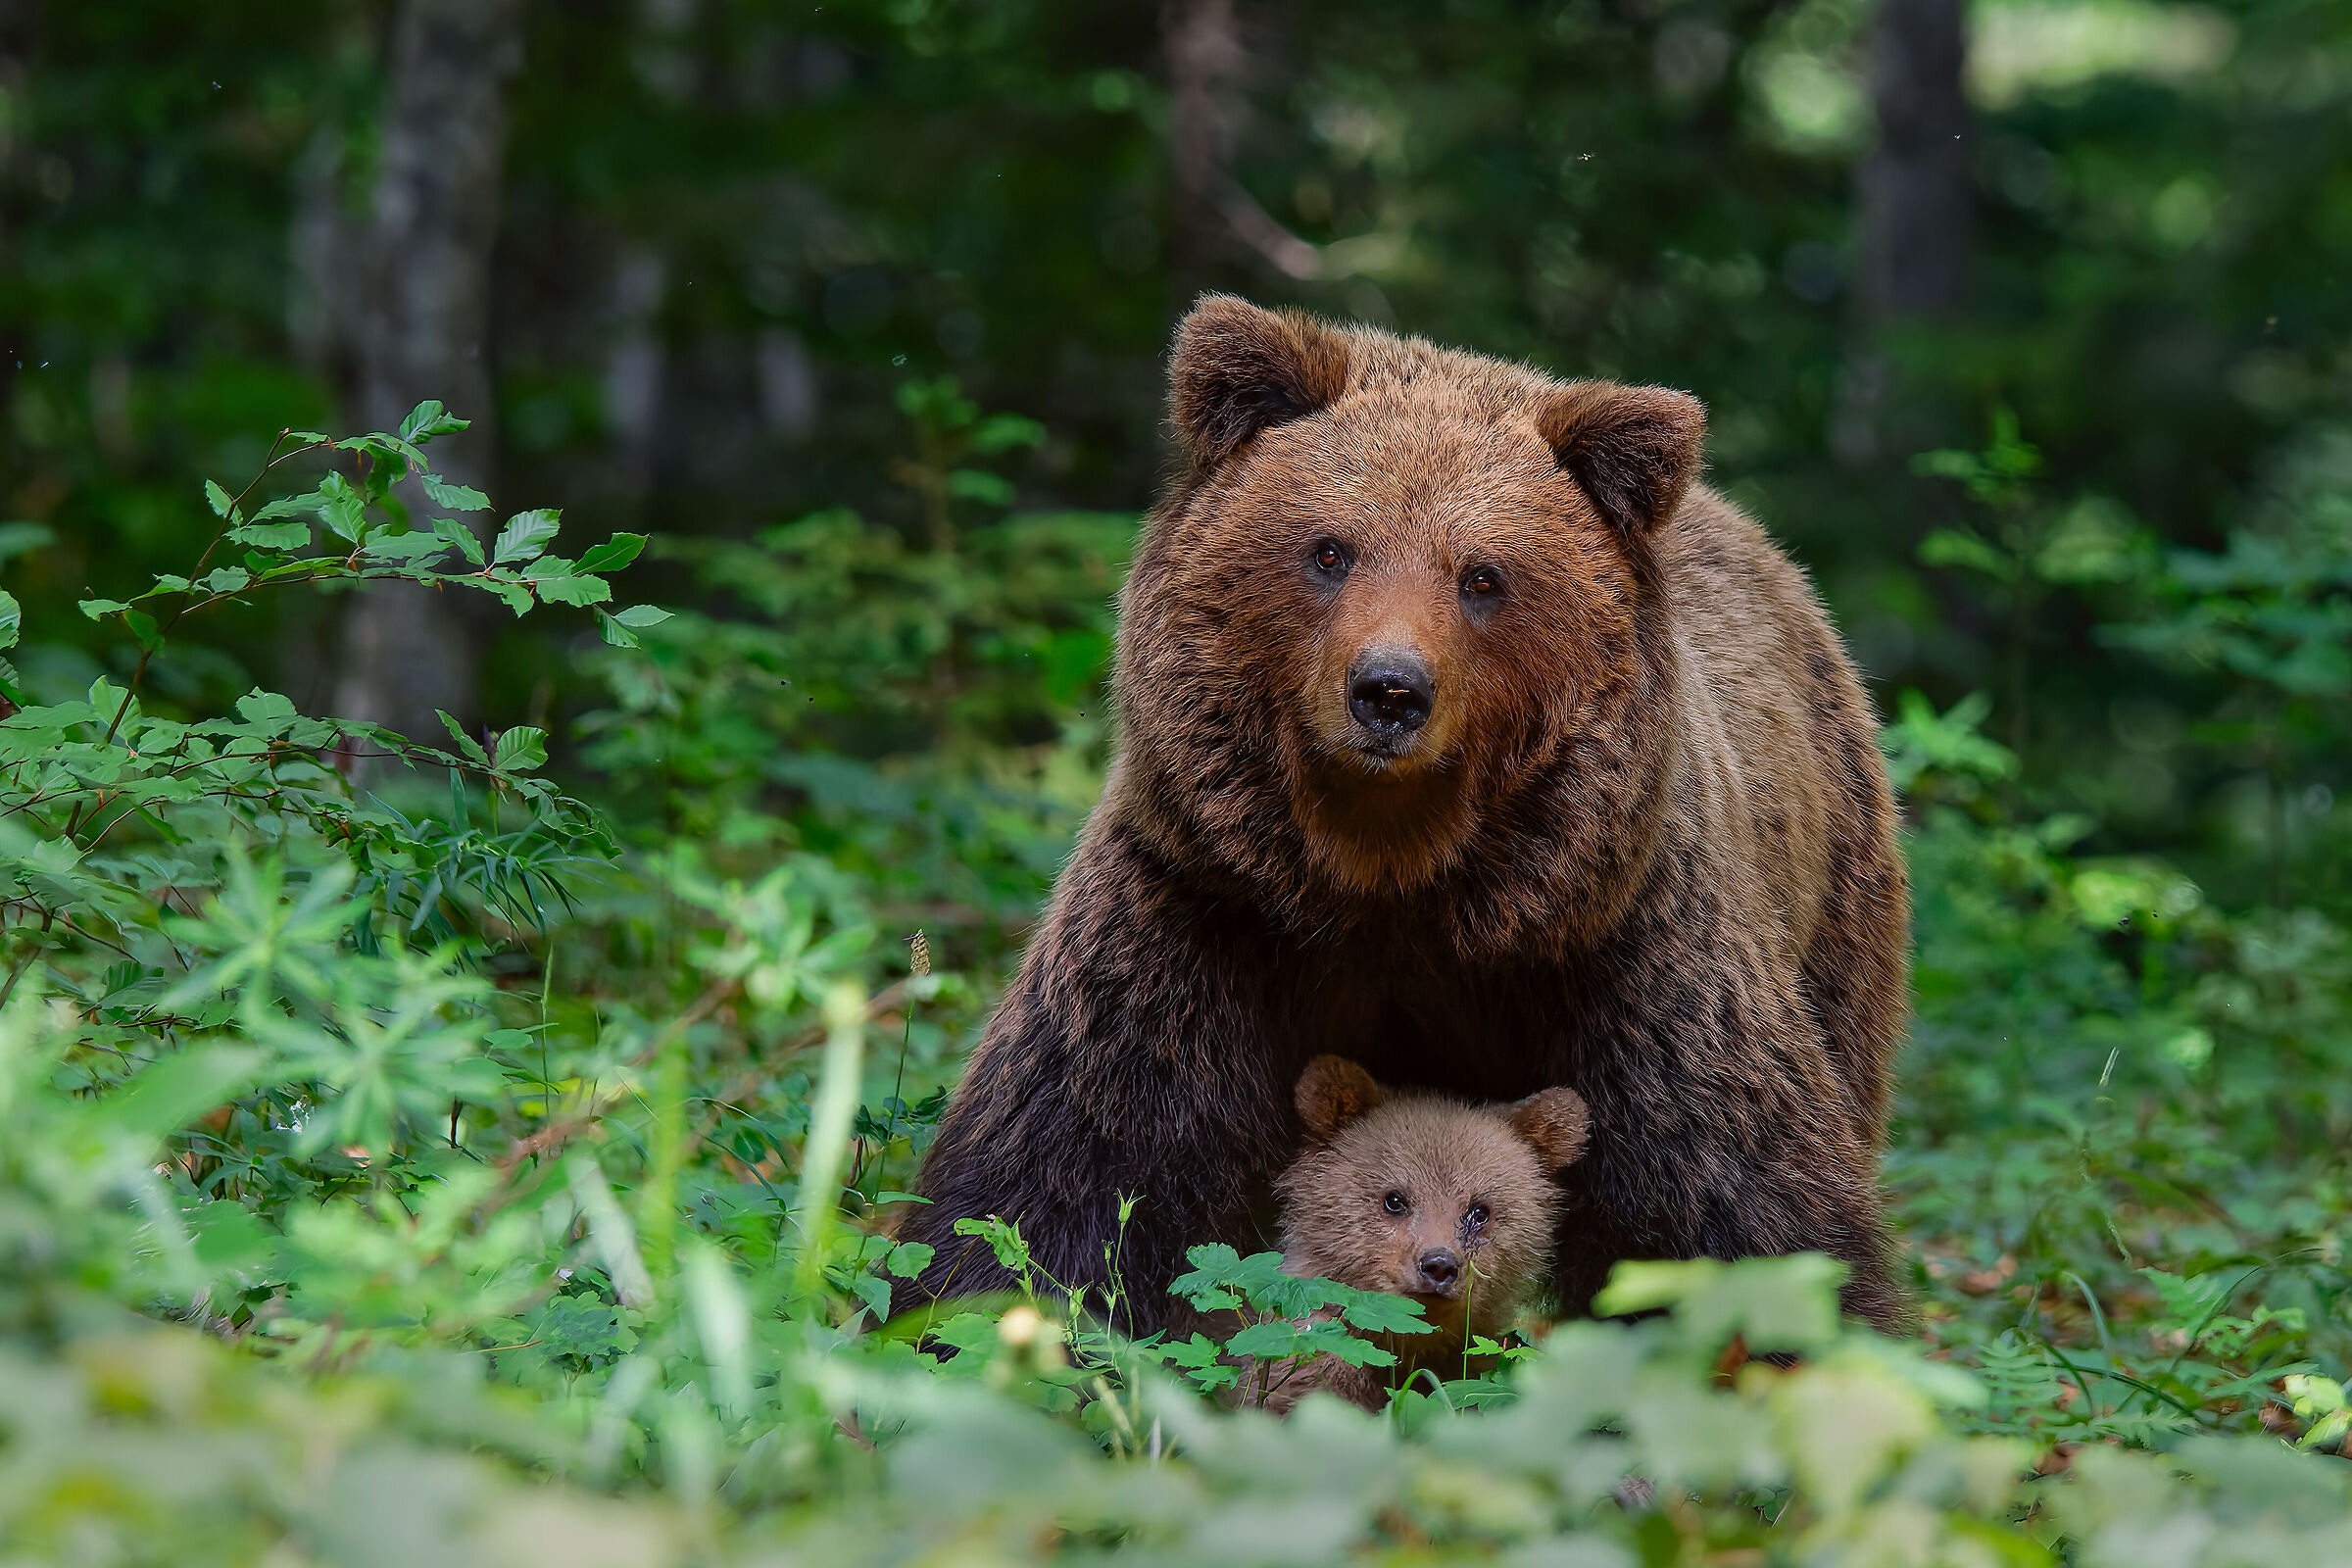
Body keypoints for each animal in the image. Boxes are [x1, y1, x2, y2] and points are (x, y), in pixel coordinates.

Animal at [894, 293, 1911, 1333]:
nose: (1388, 690)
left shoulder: (1622, 952)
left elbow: (1732, 1211)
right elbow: (1068, 1176)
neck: (1395, 884)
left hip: (1836, 901)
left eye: (1483, 576)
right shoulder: (1203, 916)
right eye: (1329, 550)